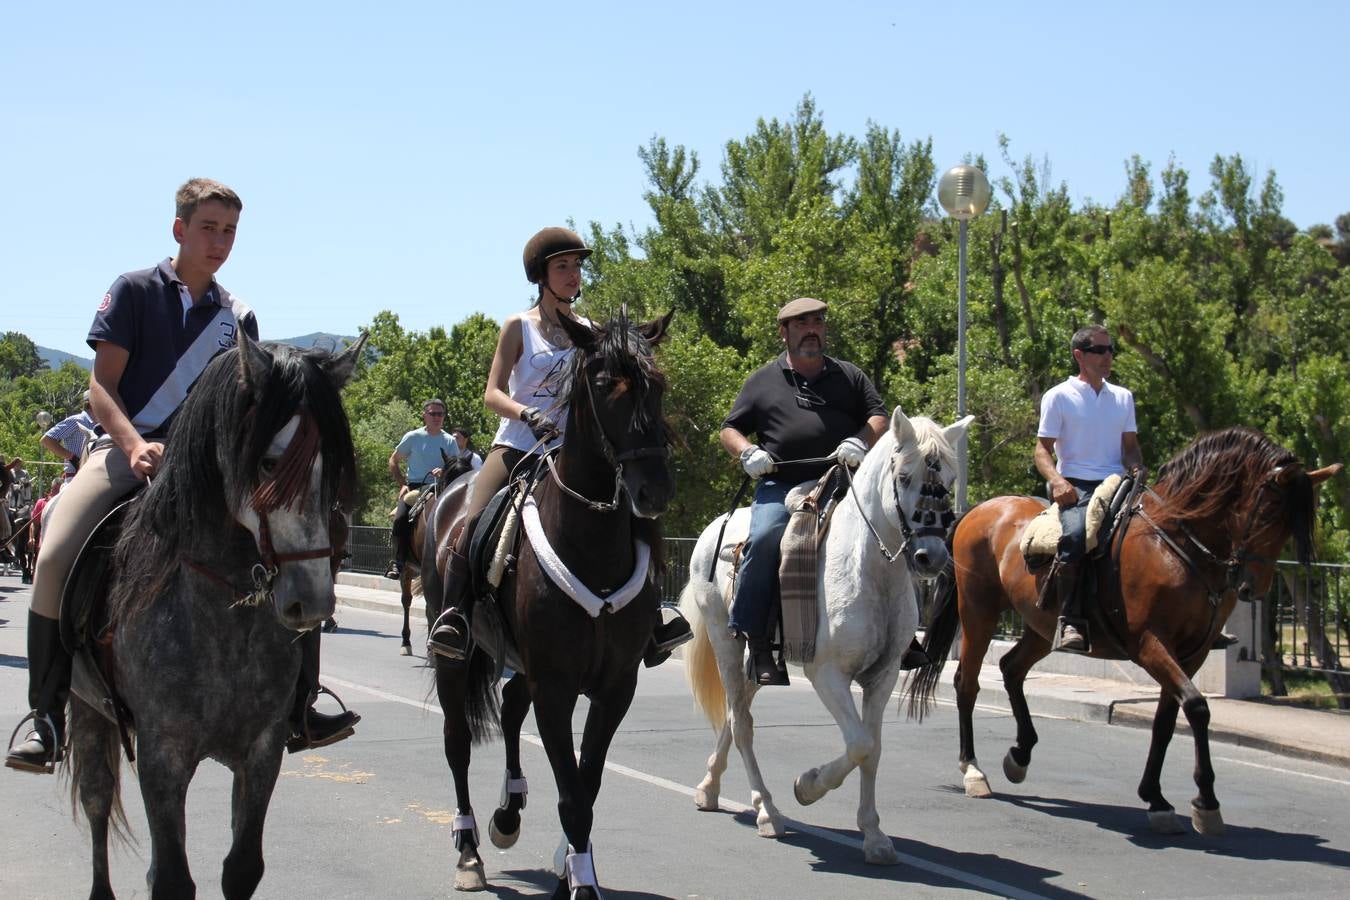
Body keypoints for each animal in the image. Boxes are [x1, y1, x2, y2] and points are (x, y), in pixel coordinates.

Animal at [66, 333, 364, 900]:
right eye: (269, 463)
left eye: (333, 466)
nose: (313, 602)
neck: (222, 620)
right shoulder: (162, 755)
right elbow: (173, 878)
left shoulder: (262, 750)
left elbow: (241, 866)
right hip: (86, 709)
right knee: (96, 801)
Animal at [423, 311, 672, 900]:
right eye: (604, 387)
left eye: (659, 386)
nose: (653, 492)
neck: (592, 543)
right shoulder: (556, 686)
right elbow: (572, 794)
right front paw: (579, 882)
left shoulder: (616, 686)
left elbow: (588, 783)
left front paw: (572, 871)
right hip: (455, 656)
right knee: (457, 742)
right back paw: (469, 851)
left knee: (513, 707)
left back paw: (508, 811)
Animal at [675, 404, 972, 863]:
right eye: (905, 476)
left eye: (952, 480)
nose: (931, 556)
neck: (867, 567)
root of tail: (714, 529)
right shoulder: (828, 674)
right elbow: (859, 744)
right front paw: (808, 785)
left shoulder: (883, 676)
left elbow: (872, 749)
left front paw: (874, 835)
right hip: (725, 641)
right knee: (742, 723)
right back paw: (767, 810)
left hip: (758, 660)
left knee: (736, 712)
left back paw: (711, 787)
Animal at [907, 429, 1339, 836]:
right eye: (1267, 514)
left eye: (1289, 525)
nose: (1252, 588)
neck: (1177, 543)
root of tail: (978, 510)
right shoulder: (1150, 643)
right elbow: (1197, 707)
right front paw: (1205, 802)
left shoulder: (1192, 653)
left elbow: (1168, 719)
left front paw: (1158, 799)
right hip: (979, 612)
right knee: (967, 682)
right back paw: (973, 770)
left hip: (1042, 626)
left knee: (1012, 668)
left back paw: (1020, 755)